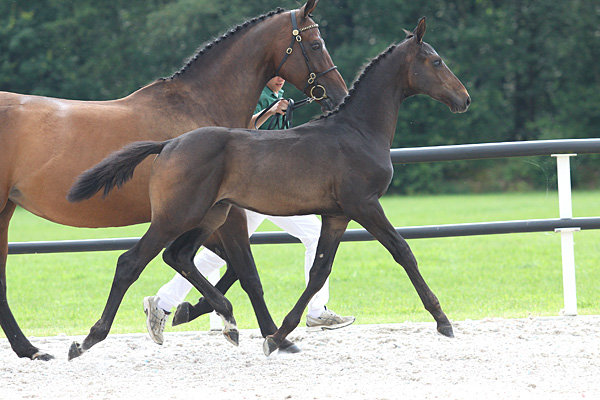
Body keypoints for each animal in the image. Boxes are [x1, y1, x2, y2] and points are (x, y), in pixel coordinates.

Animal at [0, 0, 349, 361]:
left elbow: (215, 266)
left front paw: (189, 311)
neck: (198, 104)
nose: (340, 94)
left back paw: (29, 349)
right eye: (316, 45)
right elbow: (247, 273)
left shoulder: (203, 216)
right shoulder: (224, 214)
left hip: (6, 210)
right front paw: (272, 335)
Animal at [68, 17, 470, 358]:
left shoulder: (336, 215)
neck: (357, 130)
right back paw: (88, 340)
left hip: (211, 215)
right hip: (177, 216)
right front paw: (443, 321)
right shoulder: (365, 205)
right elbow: (403, 252)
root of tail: (168, 144)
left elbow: (318, 272)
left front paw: (279, 336)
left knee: (178, 256)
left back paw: (220, 318)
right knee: (131, 262)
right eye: (435, 62)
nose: (464, 99)